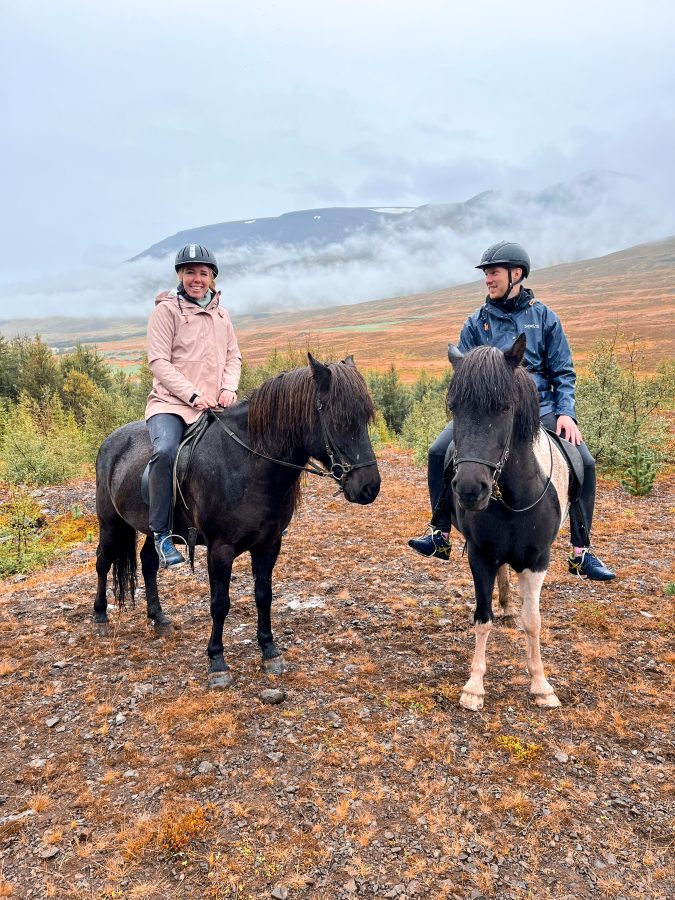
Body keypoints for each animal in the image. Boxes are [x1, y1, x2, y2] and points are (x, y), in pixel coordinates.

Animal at [93, 354, 382, 688]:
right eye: (339, 420)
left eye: (365, 418)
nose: (369, 487)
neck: (247, 463)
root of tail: (111, 441)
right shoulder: (220, 550)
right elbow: (220, 604)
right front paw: (217, 662)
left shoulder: (269, 544)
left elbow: (263, 596)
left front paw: (269, 650)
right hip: (110, 523)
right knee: (103, 562)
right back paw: (100, 617)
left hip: (152, 529)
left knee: (149, 561)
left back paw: (159, 618)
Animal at [448, 338, 572, 712]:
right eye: (453, 407)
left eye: (504, 408)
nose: (470, 489)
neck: (514, 498)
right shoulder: (480, 556)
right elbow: (482, 618)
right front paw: (474, 686)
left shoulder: (538, 560)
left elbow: (533, 622)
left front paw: (541, 685)